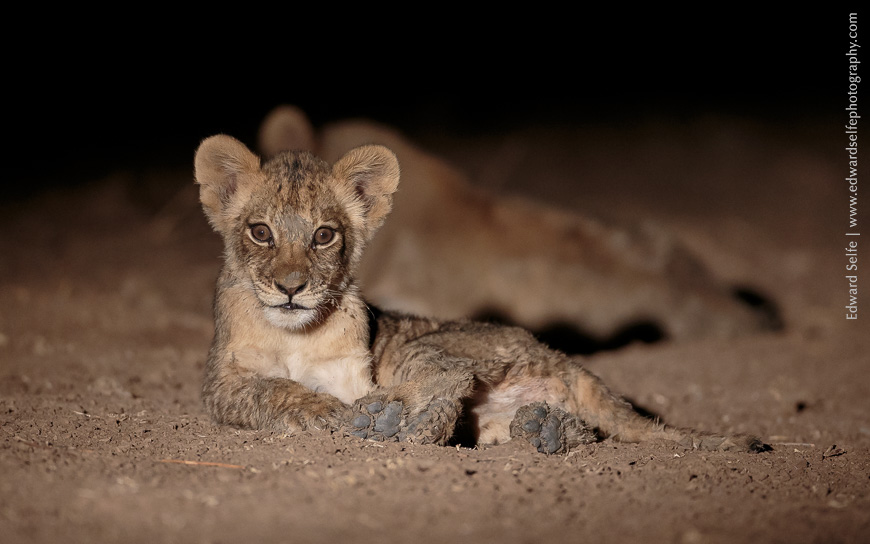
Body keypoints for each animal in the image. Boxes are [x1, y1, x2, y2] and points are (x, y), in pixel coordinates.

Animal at [194, 134, 765, 453]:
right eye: (261, 232)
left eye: (323, 236)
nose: (292, 289)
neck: (294, 333)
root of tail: (559, 356)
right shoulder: (221, 385)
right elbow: (271, 388)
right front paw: (324, 410)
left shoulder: (360, 368)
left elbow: (307, 389)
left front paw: (350, 413)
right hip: (491, 417)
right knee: (576, 428)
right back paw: (545, 431)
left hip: (427, 344)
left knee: (449, 378)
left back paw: (398, 421)